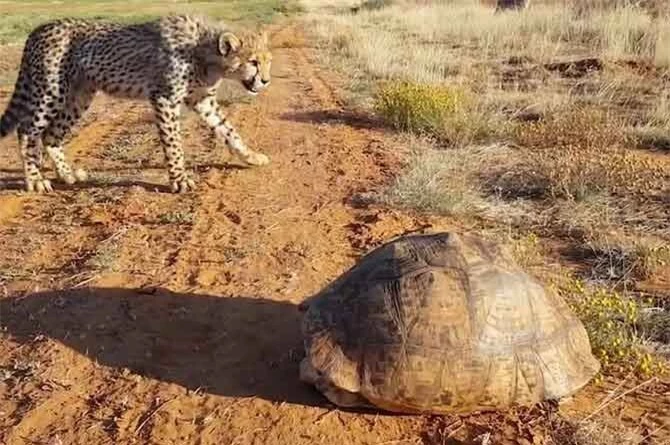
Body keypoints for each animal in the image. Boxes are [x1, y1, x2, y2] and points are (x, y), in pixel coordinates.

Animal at [0, 15, 272, 193]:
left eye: (268, 60)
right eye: (253, 62)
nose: (266, 80)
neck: (205, 52)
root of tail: (39, 28)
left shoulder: (202, 100)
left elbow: (229, 130)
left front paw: (251, 156)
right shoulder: (164, 98)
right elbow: (174, 144)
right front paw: (180, 179)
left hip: (79, 96)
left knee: (51, 134)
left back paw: (67, 175)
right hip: (51, 91)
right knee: (27, 130)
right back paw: (35, 180)